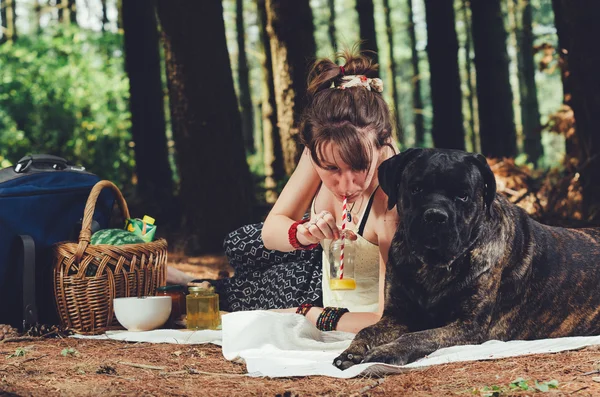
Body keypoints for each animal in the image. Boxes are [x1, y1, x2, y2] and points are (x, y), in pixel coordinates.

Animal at [336, 148, 600, 368]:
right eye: (416, 188)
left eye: (463, 195)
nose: (435, 216)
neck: (432, 267)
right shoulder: (397, 314)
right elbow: (366, 331)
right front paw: (352, 352)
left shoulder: (468, 325)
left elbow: (418, 336)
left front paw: (386, 351)